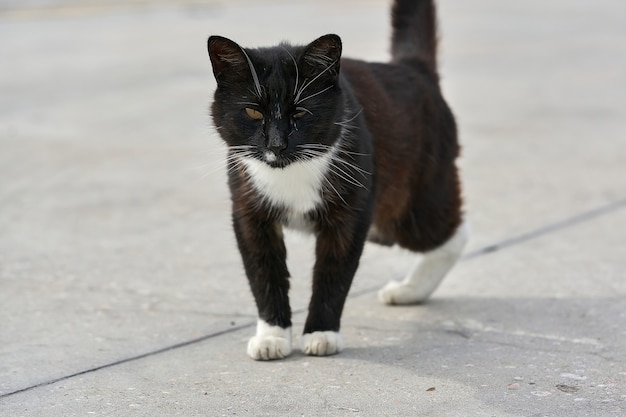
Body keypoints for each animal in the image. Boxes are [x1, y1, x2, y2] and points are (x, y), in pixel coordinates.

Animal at [207, 0, 466, 360]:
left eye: (301, 112)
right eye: (253, 112)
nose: (276, 144)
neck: (291, 172)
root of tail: (412, 69)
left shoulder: (351, 214)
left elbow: (334, 271)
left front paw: (321, 333)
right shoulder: (250, 212)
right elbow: (263, 271)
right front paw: (272, 335)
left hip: (411, 196)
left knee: (450, 235)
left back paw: (409, 289)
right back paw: (408, 290)